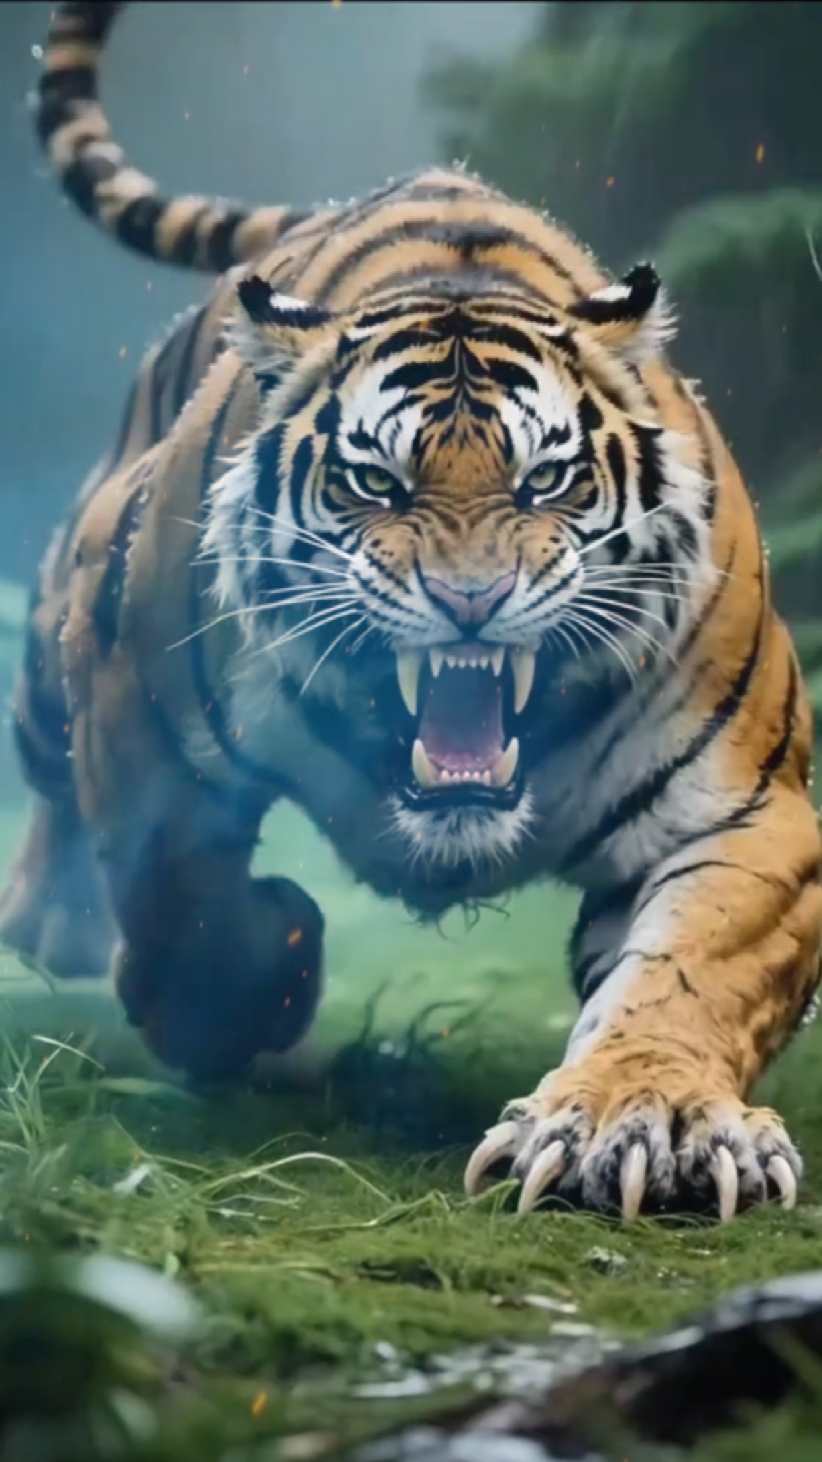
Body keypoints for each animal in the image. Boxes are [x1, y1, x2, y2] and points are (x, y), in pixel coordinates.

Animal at [3, 0, 820, 1222]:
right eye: (375, 482)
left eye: (545, 480)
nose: (470, 600)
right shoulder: (133, 705)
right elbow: (180, 898)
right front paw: (262, 975)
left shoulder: (747, 810)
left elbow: (689, 974)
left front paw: (642, 1119)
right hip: (62, 627)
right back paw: (50, 924)